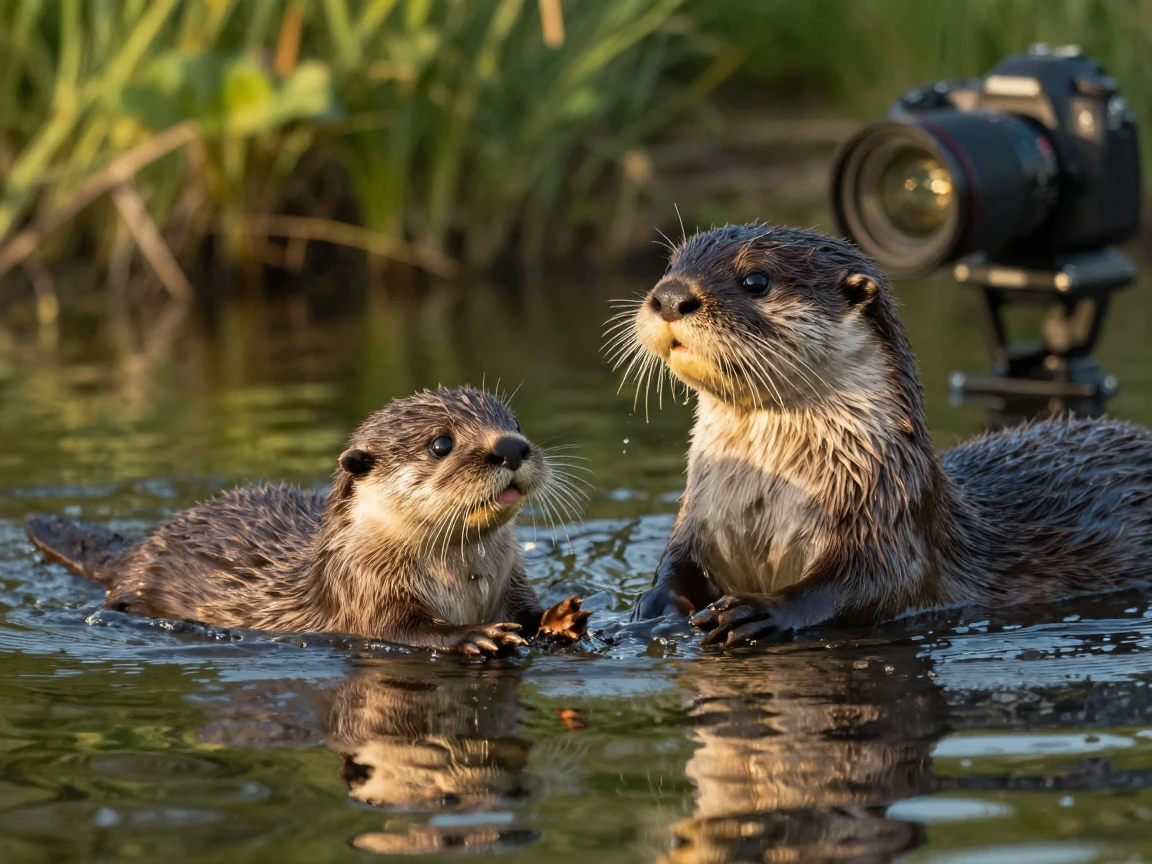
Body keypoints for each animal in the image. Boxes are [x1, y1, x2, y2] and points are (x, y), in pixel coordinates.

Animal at [24, 387, 591, 656]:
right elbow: (400, 631)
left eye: (515, 423)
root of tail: (141, 547)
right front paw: (474, 636)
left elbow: (527, 611)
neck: (465, 582)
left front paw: (559, 617)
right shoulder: (364, 593)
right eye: (441, 443)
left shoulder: (510, 578)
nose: (512, 447)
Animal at [608, 223, 1152, 646]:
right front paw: (653, 604)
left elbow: (870, 587)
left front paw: (761, 610)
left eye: (756, 280)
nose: (670, 296)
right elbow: (676, 562)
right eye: (671, 264)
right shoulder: (697, 519)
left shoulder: (889, 523)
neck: (766, 501)